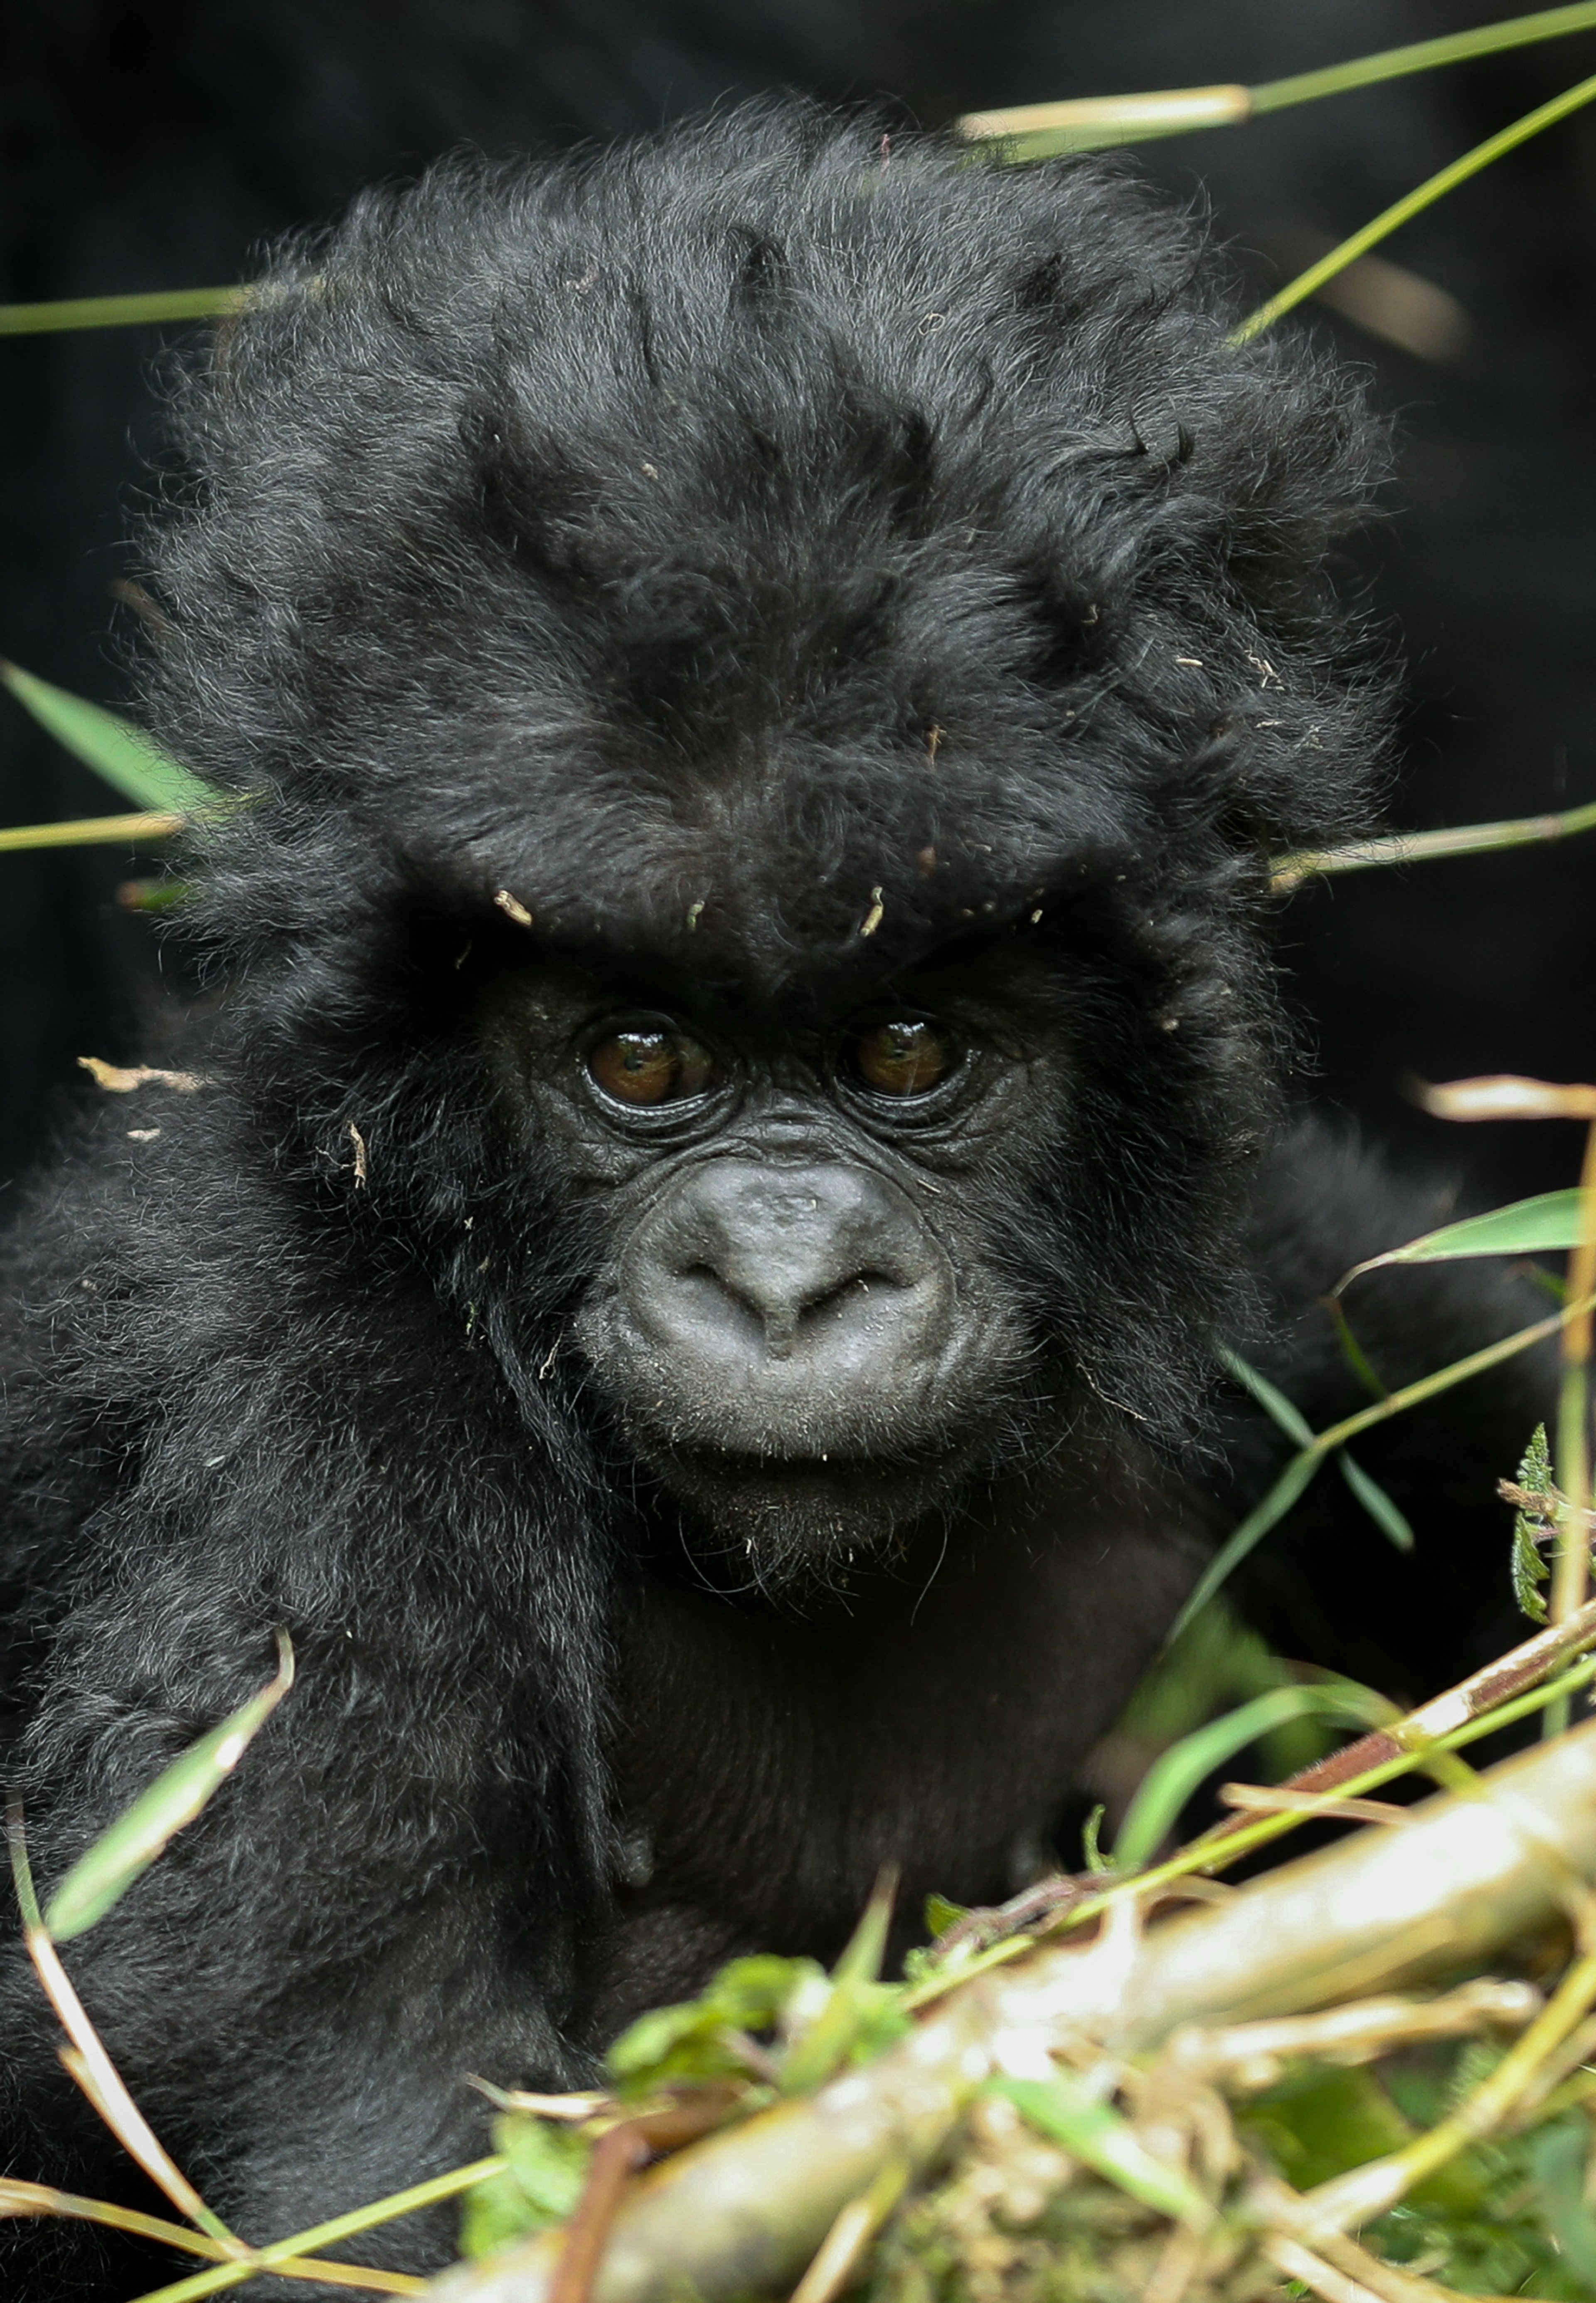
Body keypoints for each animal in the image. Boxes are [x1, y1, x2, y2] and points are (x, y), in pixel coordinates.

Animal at [0, 104, 1547, 2303]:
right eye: (640, 1058)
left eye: (907, 1047)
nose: (789, 1280)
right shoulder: (295, 1386)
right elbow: (357, 2125)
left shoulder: (1257, 1268)